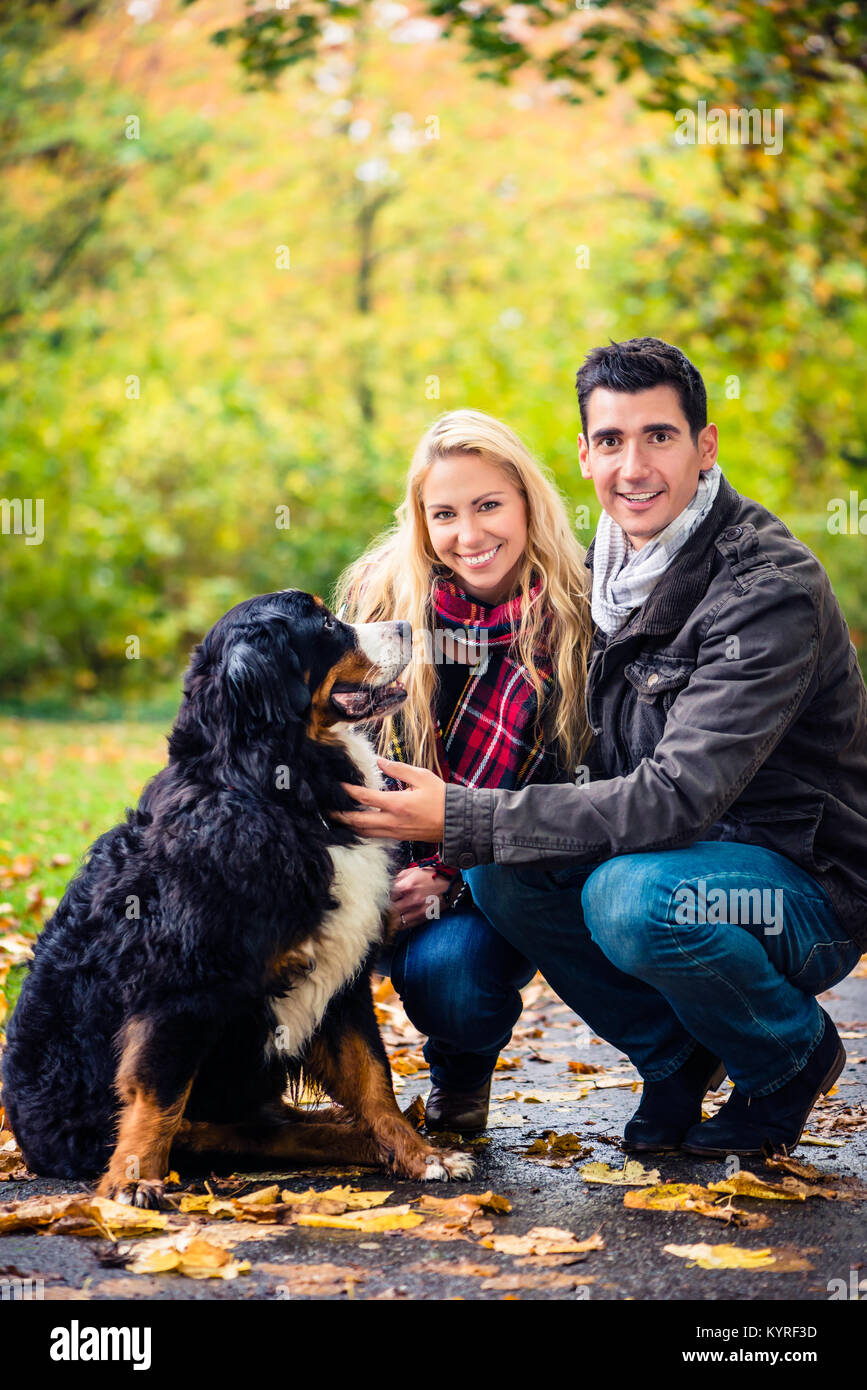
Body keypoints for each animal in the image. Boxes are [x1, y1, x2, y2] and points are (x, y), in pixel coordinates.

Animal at [1, 589, 475, 1206]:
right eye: (328, 624)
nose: (408, 628)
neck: (276, 792)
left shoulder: (343, 979)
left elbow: (375, 1080)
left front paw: (422, 1156)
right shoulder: (180, 986)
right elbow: (158, 1092)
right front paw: (132, 1184)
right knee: (213, 1129)